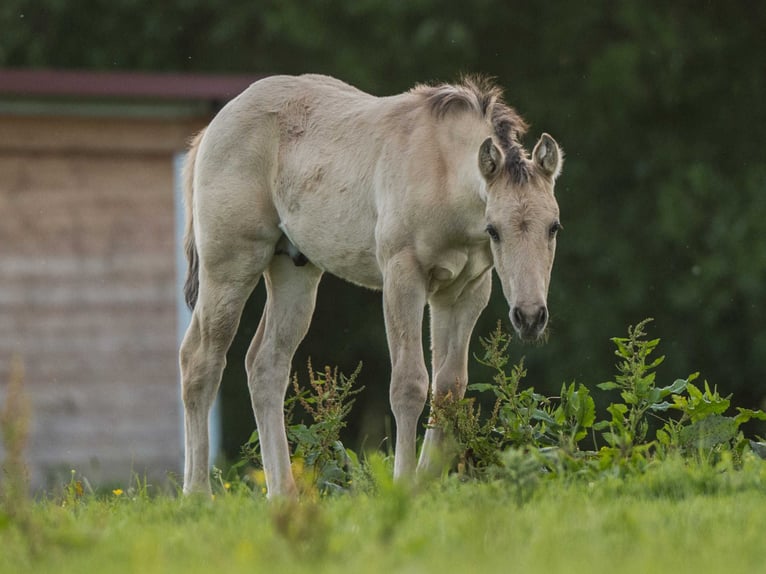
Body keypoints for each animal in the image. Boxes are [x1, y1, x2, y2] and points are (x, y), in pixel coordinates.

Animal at [180, 74, 563, 497]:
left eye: (554, 227)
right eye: (494, 229)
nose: (530, 317)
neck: (441, 172)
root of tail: (214, 126)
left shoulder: (464, 292)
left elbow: (448, 387)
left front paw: (427, 484)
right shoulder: (402, 277)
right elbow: (409, 384)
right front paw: (404, 484)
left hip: (294, 272)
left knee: (266, 366)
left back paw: (283, 493)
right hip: (230, 266)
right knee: (199, 360)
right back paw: (198, 494)